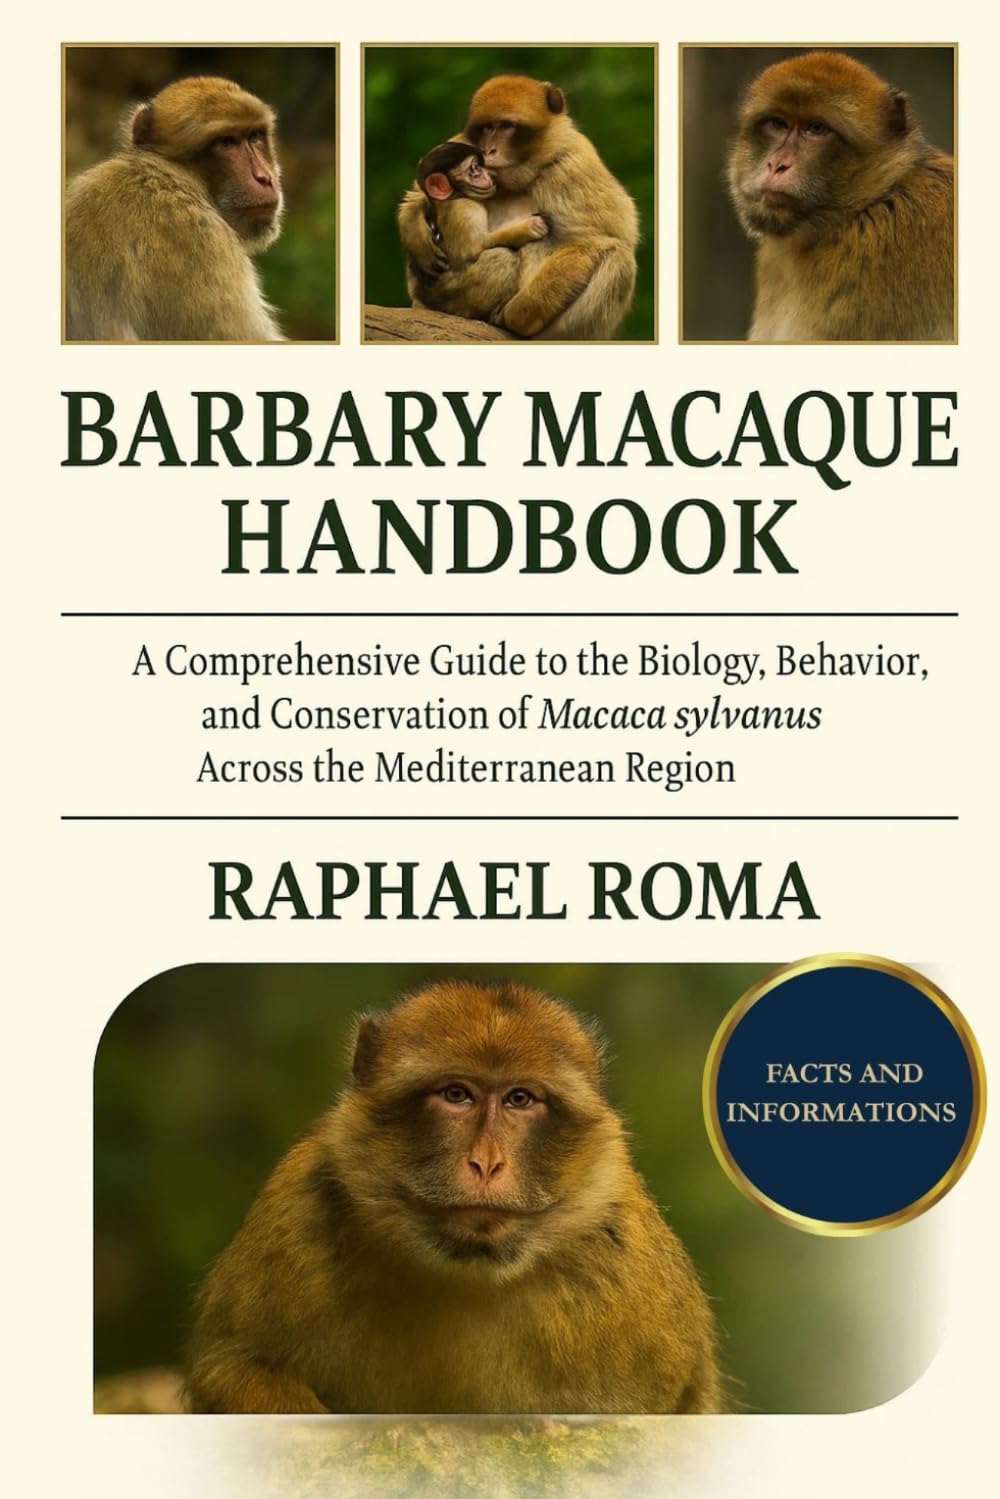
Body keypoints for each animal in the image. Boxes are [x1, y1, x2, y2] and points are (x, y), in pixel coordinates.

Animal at [184, 981, 722, 1415]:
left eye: (520, 1099)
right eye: (457, 1094)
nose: (486, 1163)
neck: (469, 1270)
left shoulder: (631, 1274)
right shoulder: (297, 1209)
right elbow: (230, 1367)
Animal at [399, 141, 550, 320]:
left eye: (480, 166)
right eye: (473, 168)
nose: (486, 174)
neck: (455, 196)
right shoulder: (466, 207)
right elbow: (472, 250)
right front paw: (527, 228)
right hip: (449, 292)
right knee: (503, 257)